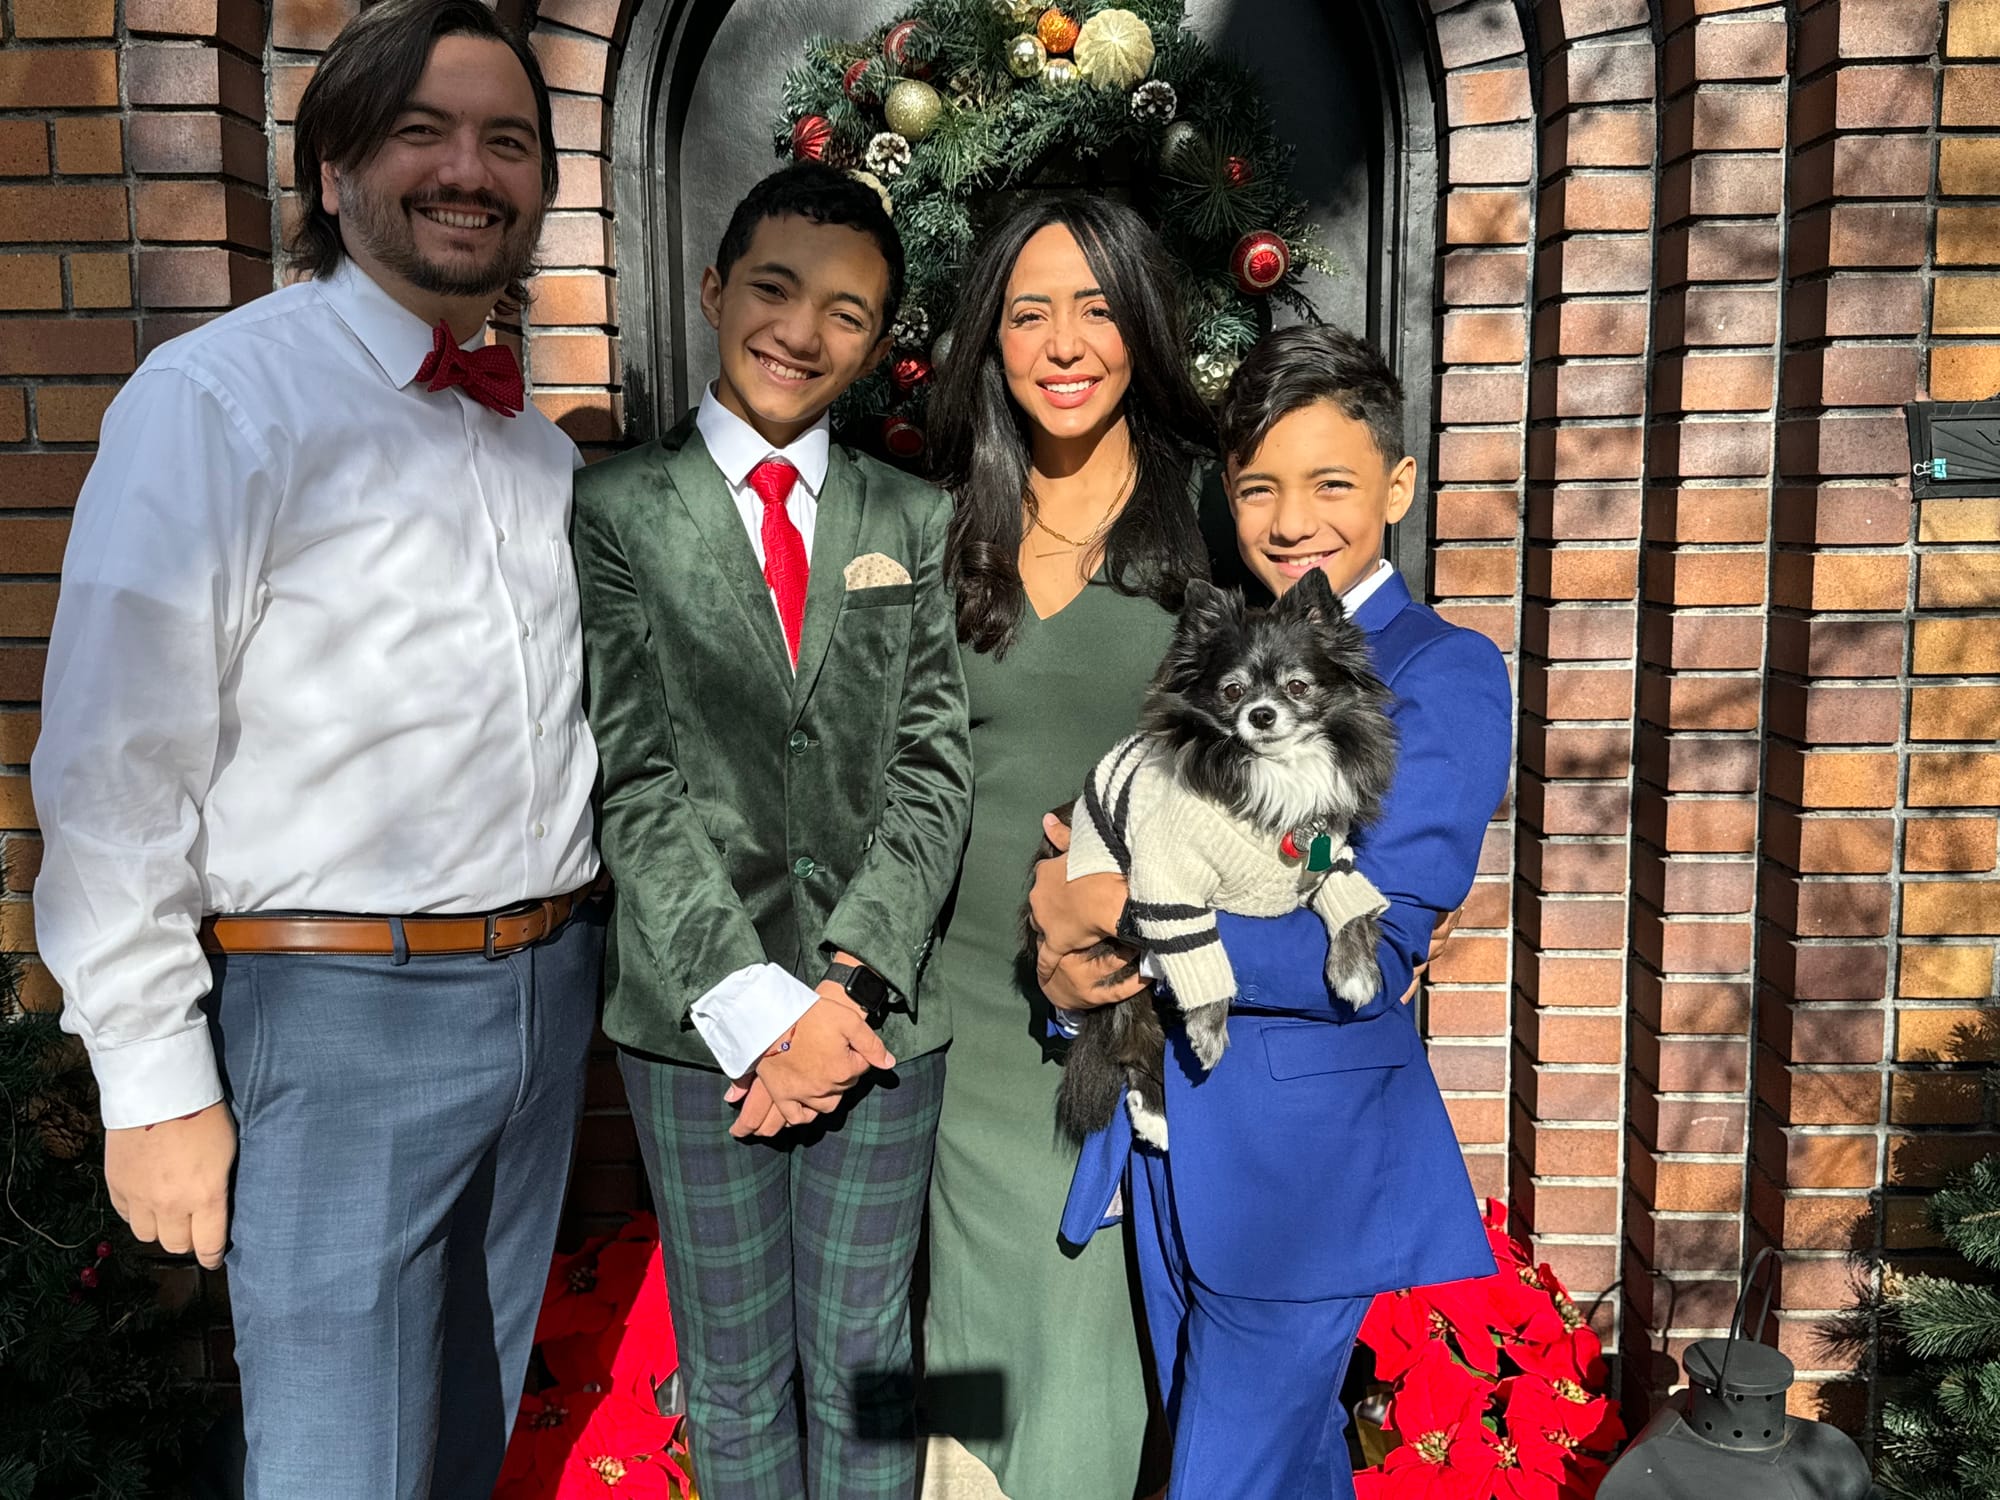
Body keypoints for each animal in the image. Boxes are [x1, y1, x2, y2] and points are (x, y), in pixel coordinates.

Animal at [1035, 566, 1398, 1147]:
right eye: (1233, 691)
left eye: (1297, 686)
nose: (1262, 714)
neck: (1274, 771)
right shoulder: (1169, 888)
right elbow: (1203, 954)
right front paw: (1208, 1030)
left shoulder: (1328, 858)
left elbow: (1350, 904)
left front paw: (1355, 970)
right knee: (1136, 1035)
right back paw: (1155, 1113)